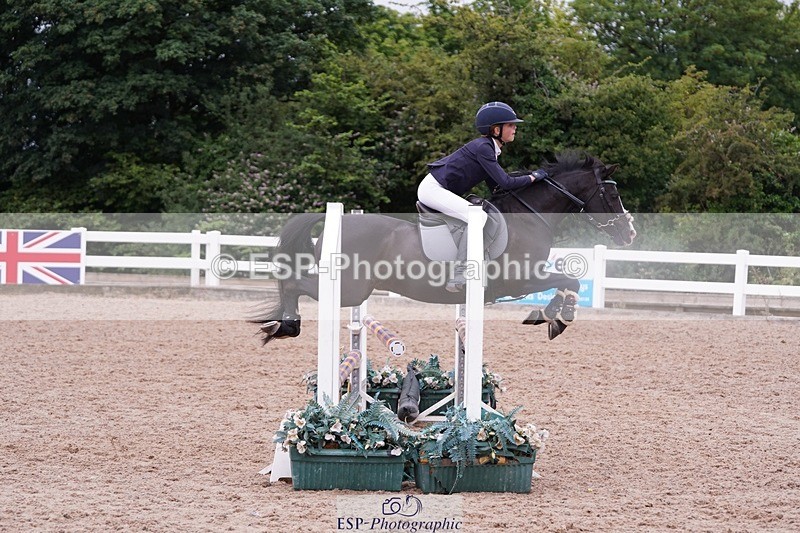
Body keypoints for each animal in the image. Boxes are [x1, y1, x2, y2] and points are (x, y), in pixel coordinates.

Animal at [252, 152, 636, 342]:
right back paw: (285, 326)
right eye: (612, 193)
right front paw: (558, 317)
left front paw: (552, 315)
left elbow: (568, 279)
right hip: (349, 289)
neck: (530, 216)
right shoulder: (521, 280)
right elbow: (568, 280)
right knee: (294, 283)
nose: (629, 233)